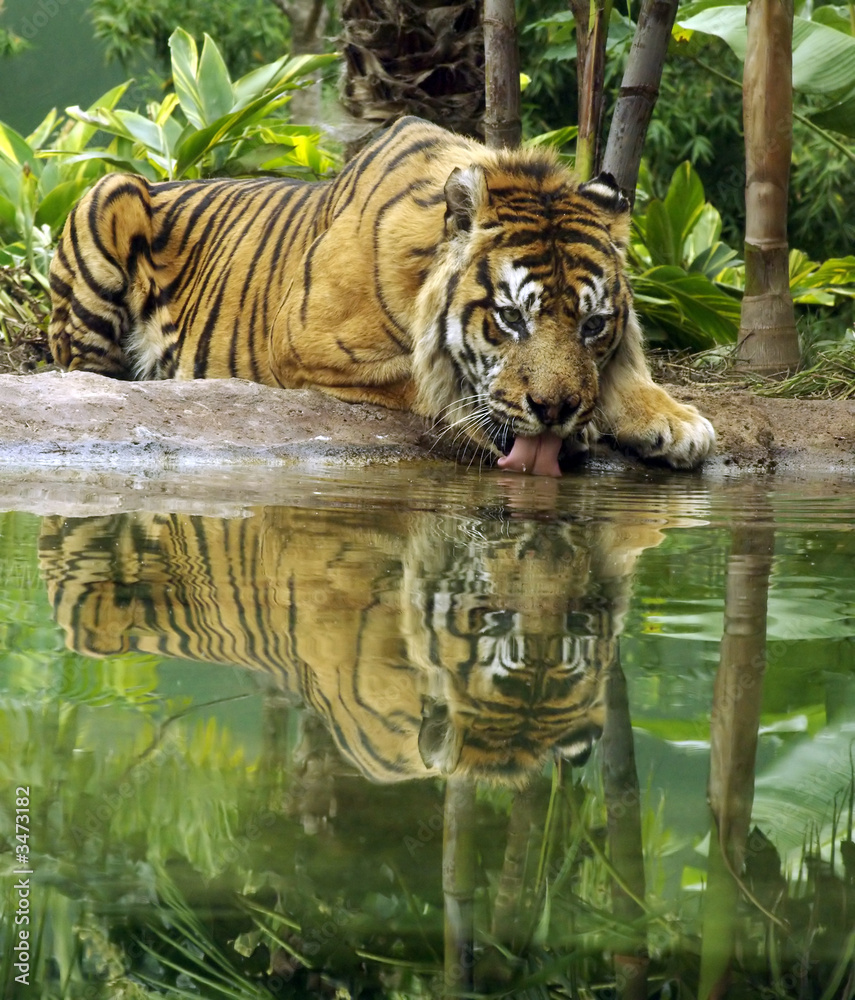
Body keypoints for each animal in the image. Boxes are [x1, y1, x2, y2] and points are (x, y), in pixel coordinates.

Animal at [48, 116, 715, 476]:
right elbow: (428, 381)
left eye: (593, 325)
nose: (555, 412)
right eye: (509, 318)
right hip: (108, 194)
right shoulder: (308, 349)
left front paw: (674, 422)